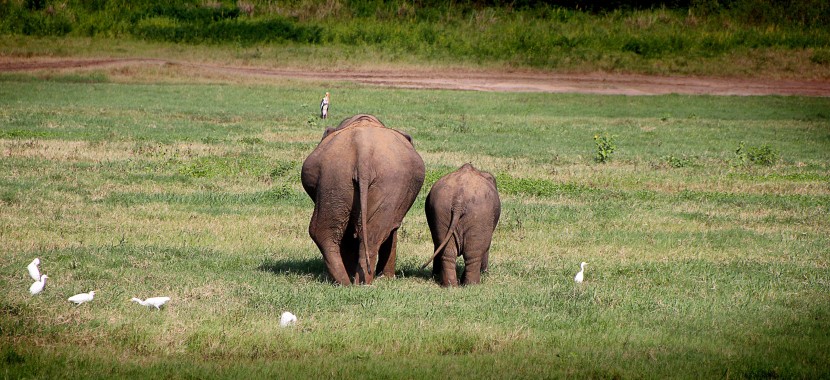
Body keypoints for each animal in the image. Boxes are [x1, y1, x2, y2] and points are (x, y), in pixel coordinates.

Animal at [300, 113, 428, 284]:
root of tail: (363, 151)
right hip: (356, 178)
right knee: (373, 232)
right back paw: (357, 281)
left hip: (337, 176)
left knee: (329, 231)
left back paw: (349, 282)